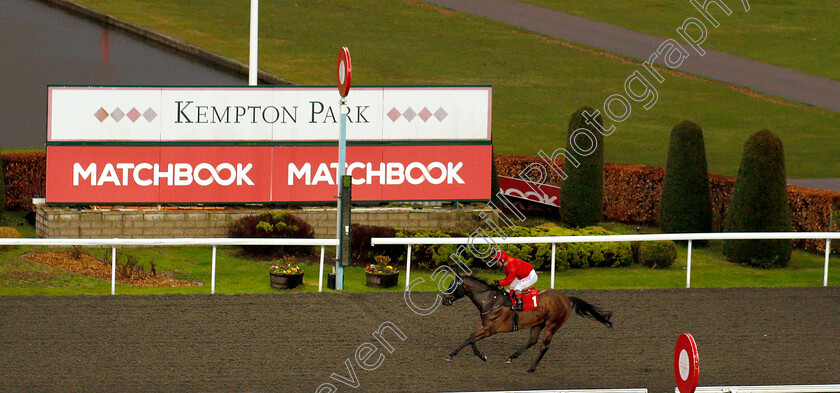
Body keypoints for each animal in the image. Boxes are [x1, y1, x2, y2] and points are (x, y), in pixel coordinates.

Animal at [442, 272, 612, 370]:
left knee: (544, 346)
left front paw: (451, 354)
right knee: (532, 341)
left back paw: (531, 368)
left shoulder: (490, 329)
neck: (491, 300)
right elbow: (471, 339)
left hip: (552, 324)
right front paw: (481, 356)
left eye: (452, 285)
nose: (444, 299)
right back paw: (511, 357)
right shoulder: (486, 328)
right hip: (538, 323)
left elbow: (470, 338)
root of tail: (567, 298)